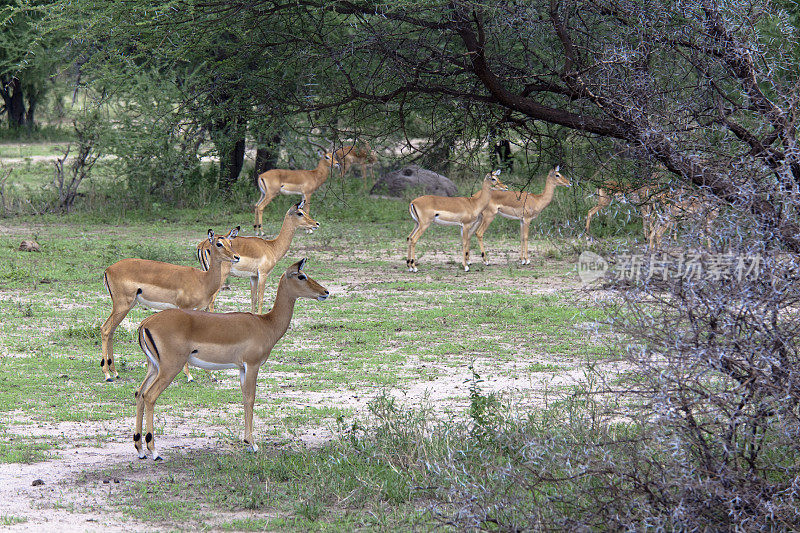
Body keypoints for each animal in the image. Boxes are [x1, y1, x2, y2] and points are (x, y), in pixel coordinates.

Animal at [99, 229, 239, 382]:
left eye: (230, 242)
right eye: (219, 243)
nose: (236, 257)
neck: (202, 280)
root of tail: (108, 269)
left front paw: (211, 374)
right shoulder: (184, 308)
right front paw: (189, 376)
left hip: (126, 306)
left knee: (111, 330)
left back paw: (115, 372)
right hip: (122, 305)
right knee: (105, 329)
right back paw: (107, 374)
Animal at [134, 258, 328, 458]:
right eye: (301, 276)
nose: (325, 292)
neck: (266, 324)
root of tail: (145, 324)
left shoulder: (242, 368)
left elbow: (244, 398)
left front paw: (247, 441)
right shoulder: (252, 365)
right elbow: (250, 398)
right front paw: (252, 443)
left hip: (154, 367)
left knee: (139, 393)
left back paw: (140, 449)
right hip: (170, 368)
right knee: (150, 396)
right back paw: (154, 451)